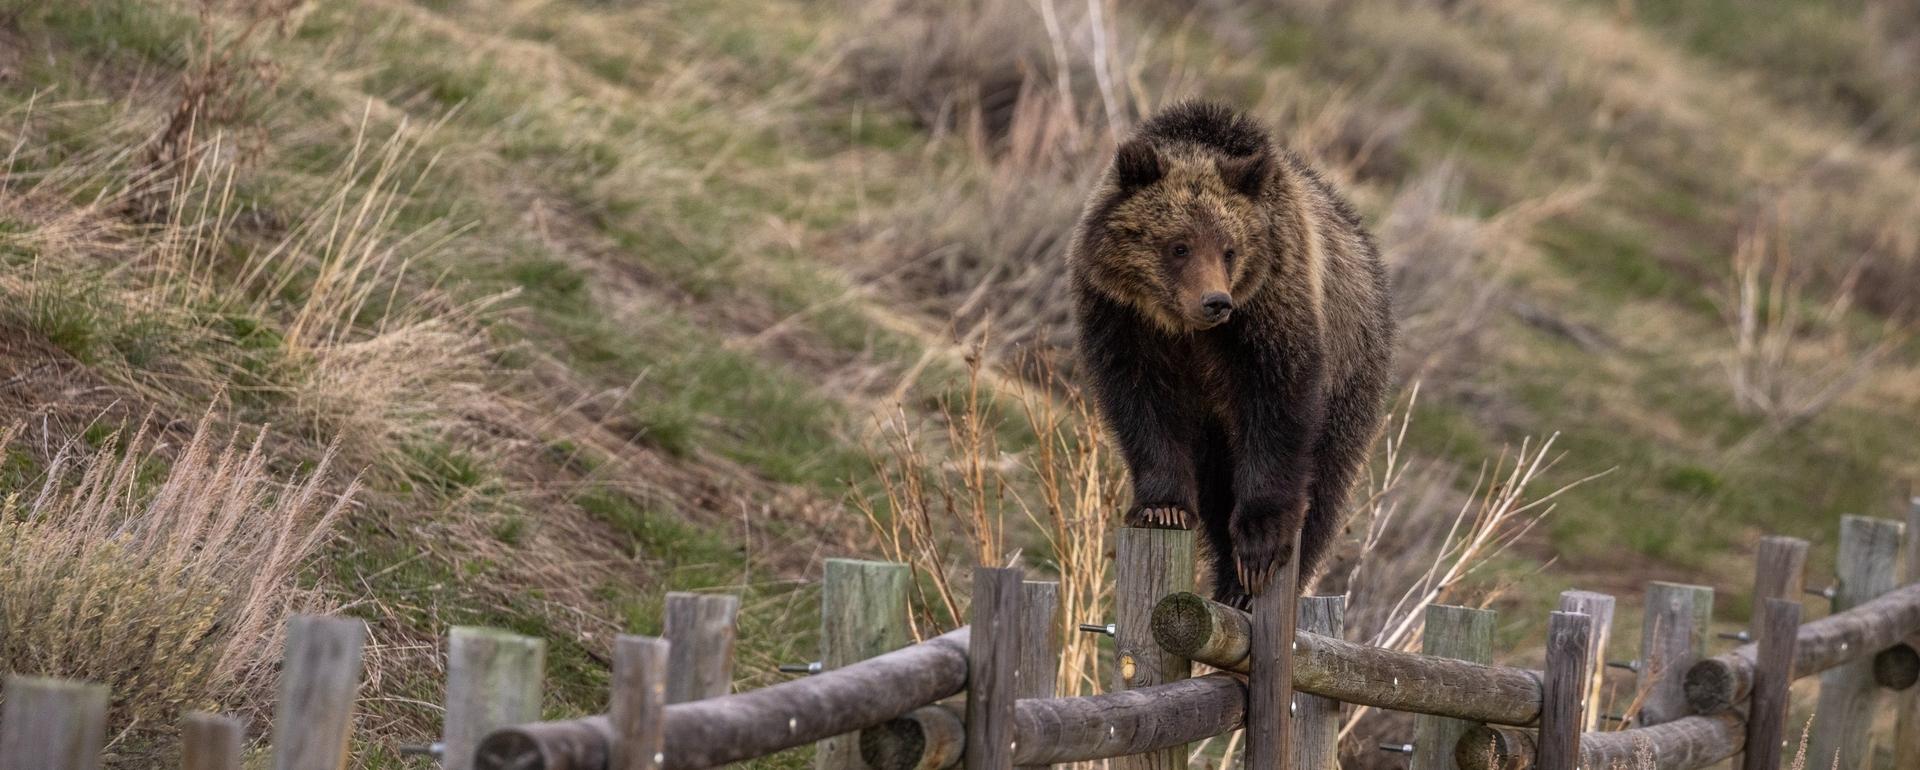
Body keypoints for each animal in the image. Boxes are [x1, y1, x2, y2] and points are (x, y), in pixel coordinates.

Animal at [1067, 100, 1397, 606]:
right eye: (1179, 245)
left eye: (1229, 249)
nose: (1215, 302)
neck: (1181, 328)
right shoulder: (1122, 320)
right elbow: (1140, 402)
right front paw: (1162, 508)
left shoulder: (1267, 311)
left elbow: (1279, 400)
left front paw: (1259, 546)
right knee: (1216, 483)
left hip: (1354, 374)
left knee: (1326, 482)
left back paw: (1247, 585)